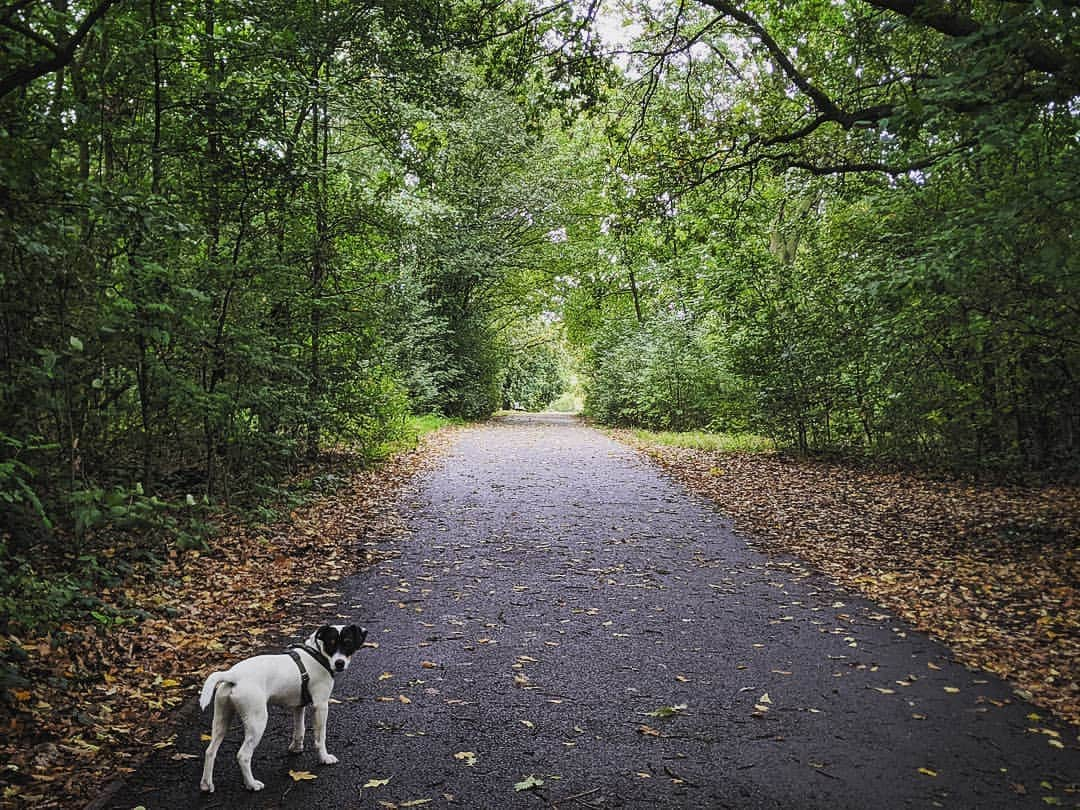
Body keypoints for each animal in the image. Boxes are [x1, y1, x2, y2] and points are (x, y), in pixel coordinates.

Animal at [194, 626, 362, 794]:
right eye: (331, 643)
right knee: (243, 755)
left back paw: (206, 784)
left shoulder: (298, 706)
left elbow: (299, 730)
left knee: (210, 751)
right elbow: (320, 738)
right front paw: (324, 758)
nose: (339, 663)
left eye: (348, 642)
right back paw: (251, 784)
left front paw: (296, 748)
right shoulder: (320, 706)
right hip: (257, 722)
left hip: (221, 719)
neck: (316, 653)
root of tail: (232, 675)